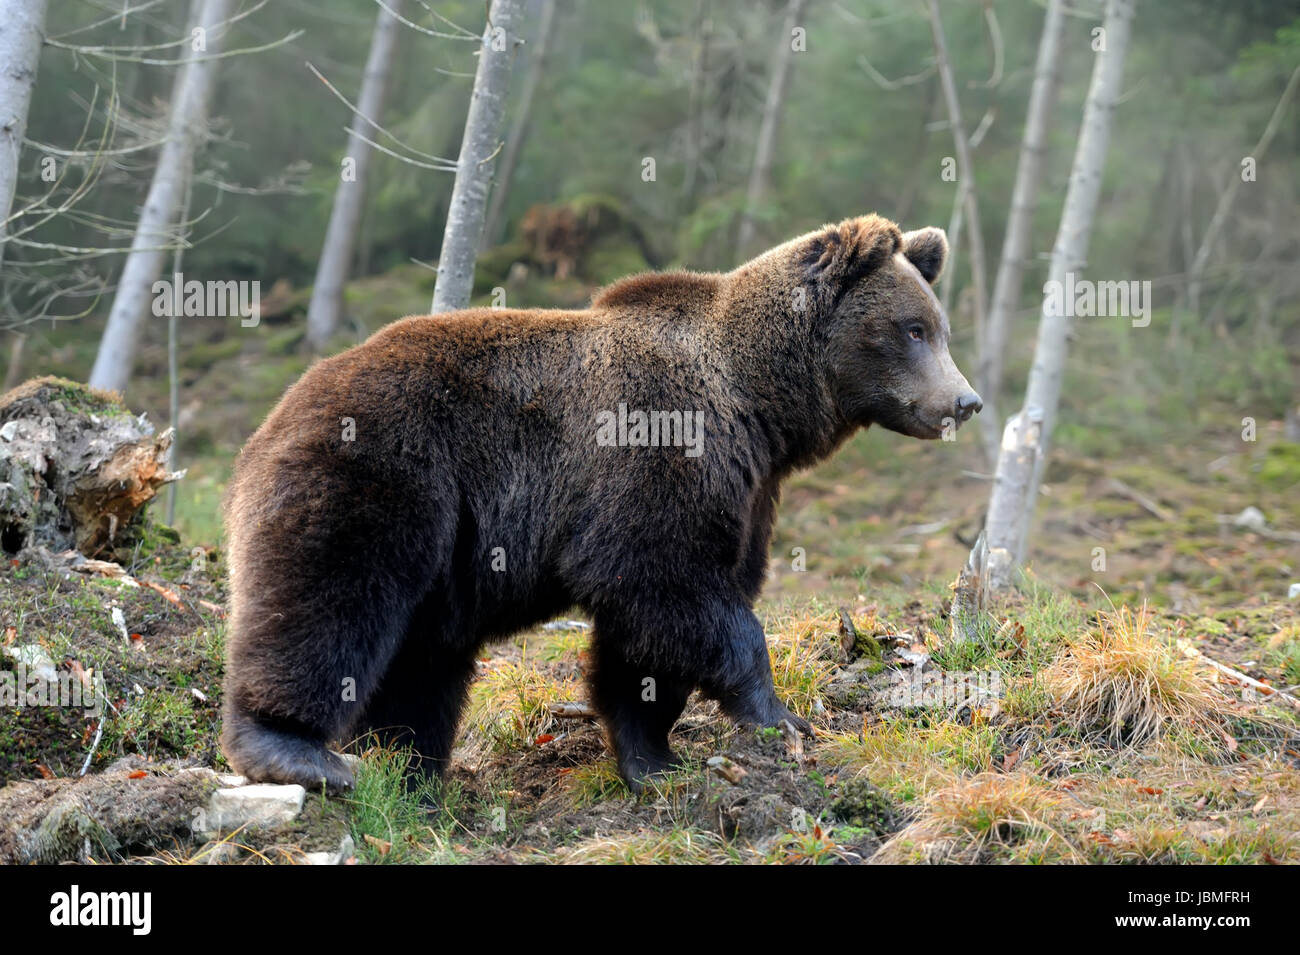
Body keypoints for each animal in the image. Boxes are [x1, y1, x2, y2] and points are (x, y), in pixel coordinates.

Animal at [220, 213, 981, 793]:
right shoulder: (655, 456)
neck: (760, 405)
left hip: (438, 552)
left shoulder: (745, 489)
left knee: (423, 660)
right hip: (383, 474)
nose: (965, 400)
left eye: (938, 326)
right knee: (329, 599)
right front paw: (779, 716)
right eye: (913, 328)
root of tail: (276, 413)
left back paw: (414, 772)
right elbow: (669, 586)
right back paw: (296, 750)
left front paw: (654, 759)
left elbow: (645, 642)